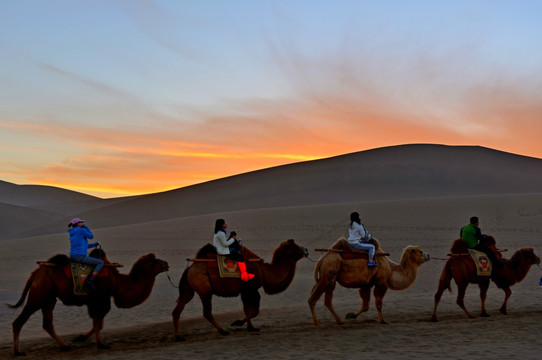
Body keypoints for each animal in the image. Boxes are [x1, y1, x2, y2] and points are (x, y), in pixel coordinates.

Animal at [6, 249, 168, 356]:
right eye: (154, 261)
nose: (166, 264)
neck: (117, 282)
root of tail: (35, 274)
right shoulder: (101, 299)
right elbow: (98, 322)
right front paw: (101, 344)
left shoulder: (94, 301)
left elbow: (98, 323)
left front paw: (80, 337)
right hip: (39, 294)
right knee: (19, 321)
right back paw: (18, 352)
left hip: (49, 298)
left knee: (47, 323)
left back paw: (64, 346)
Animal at [174, 239, 310, 340]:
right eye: (295, 247)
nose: (306, 250)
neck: (264, 271)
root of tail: (189, 269)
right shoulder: (251, 289)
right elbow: (255, 310)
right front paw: (237, 323)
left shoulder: (245, 290)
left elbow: (247, 309)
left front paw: (251, 328)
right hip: (205, 291)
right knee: (207, 312)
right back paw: (223, 331)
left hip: (188, 289)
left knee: (178, 309)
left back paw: (178, 337)